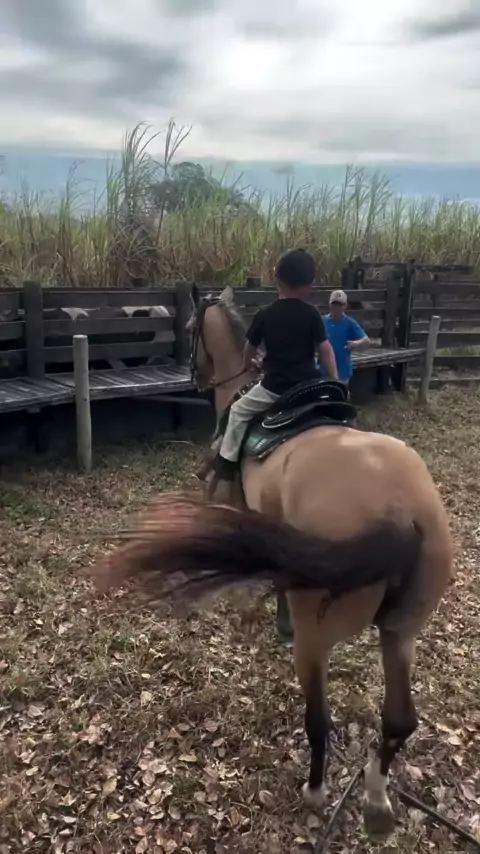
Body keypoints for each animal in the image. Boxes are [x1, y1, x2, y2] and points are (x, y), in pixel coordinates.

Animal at [92, 284, 455, 839]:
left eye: (192, 328)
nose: (196, 377)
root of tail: (401, 508)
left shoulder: (238, 503)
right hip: (401, 631)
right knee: (398, 720)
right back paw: (375, 799)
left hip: (320, 636)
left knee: (319, 719)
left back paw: (315, 791)